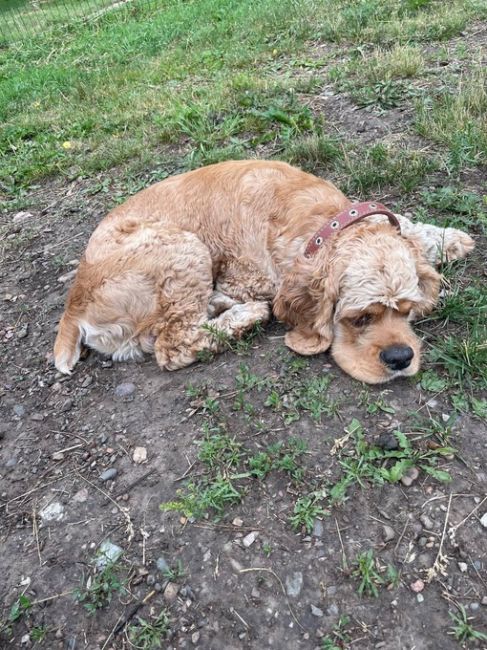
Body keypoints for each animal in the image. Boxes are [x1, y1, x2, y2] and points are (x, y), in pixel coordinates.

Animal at [52, 159, 472, 382]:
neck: (320, 222)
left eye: (407, 310)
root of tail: (73, 307)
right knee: (174, 345)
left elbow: (409, 229)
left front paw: (449, 238)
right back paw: (245, 316)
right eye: (359, 318)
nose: (401, 359)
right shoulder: (250, 277)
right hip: (183, 249)